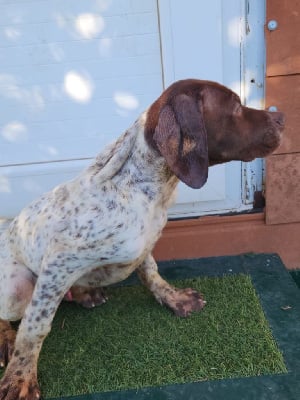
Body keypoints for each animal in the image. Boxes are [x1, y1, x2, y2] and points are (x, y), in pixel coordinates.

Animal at [0, 79, 284, 398]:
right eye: (235, 106)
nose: (282, 118)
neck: (141, 187)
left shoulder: (146, 245)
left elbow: (152, 274)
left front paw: (174, 298)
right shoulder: (58, 264)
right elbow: (35, 327)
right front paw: (20, 377)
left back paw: (84, 293)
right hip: (15, 291)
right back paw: (6, 339)